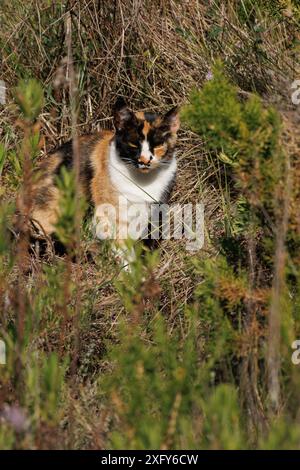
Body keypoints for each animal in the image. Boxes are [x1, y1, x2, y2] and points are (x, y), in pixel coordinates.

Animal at [29, 98, 179, 264]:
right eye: (133, 144)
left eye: (158, 145)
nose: (145, 160)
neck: (143, 181)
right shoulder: (112, 210)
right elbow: (122, 245)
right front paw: (127, 269)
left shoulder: (155, 209)